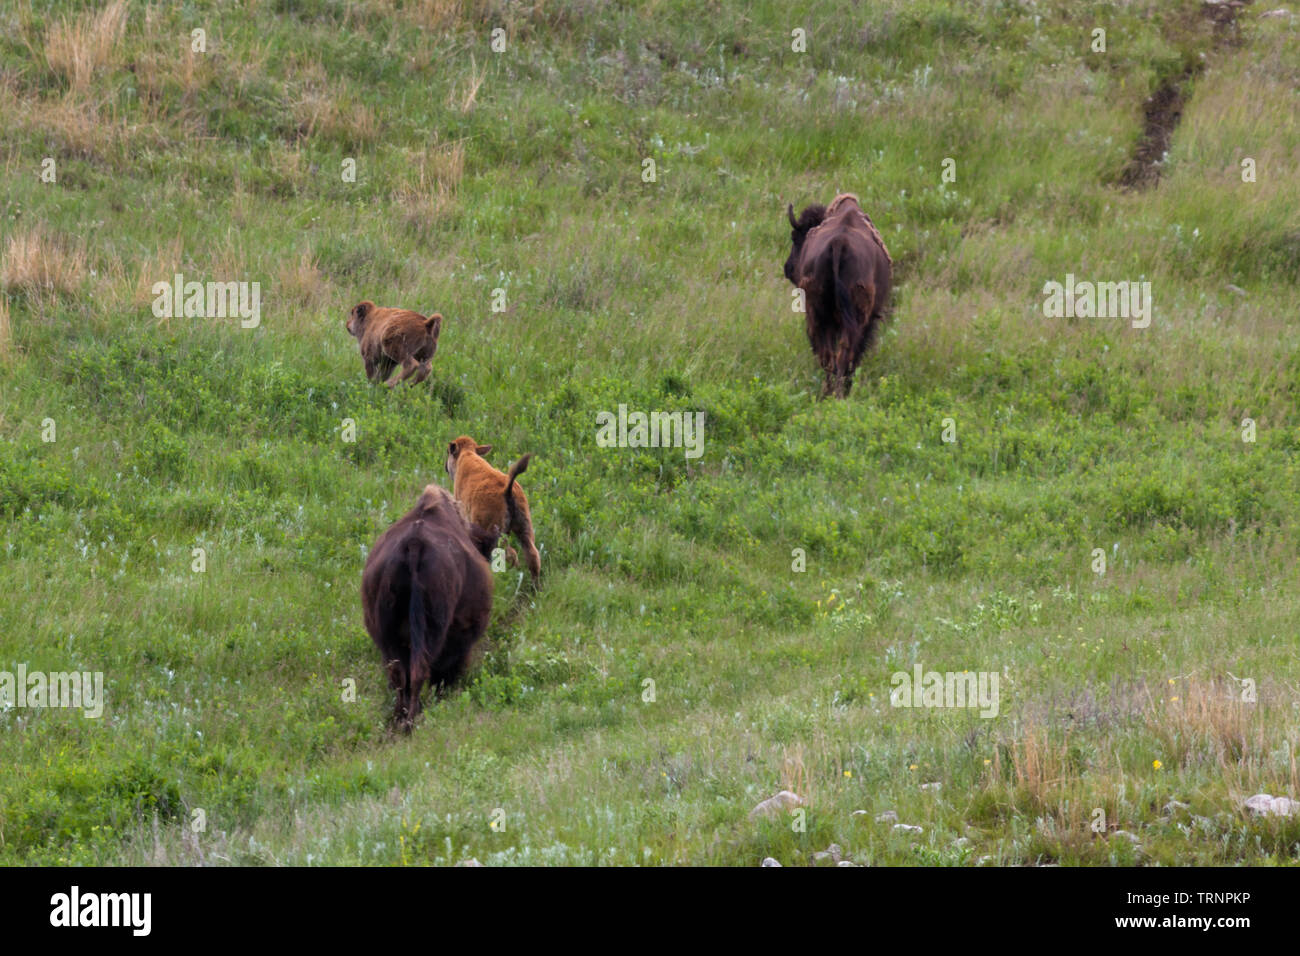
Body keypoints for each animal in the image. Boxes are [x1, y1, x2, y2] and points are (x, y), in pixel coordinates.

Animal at [361, 481, 517, 738]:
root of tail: (414, 544)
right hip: (434, 630)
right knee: (421, 671)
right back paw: (412, 722)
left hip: (387, 636)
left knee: (400, 675)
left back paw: (400, 719)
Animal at [780, 192, 894, 398]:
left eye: (795, 238)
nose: (788, 268)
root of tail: (839, 243)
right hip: (852, 320)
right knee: (844, 355)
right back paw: (840, 393)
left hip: (819, 315)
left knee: (828, 356)